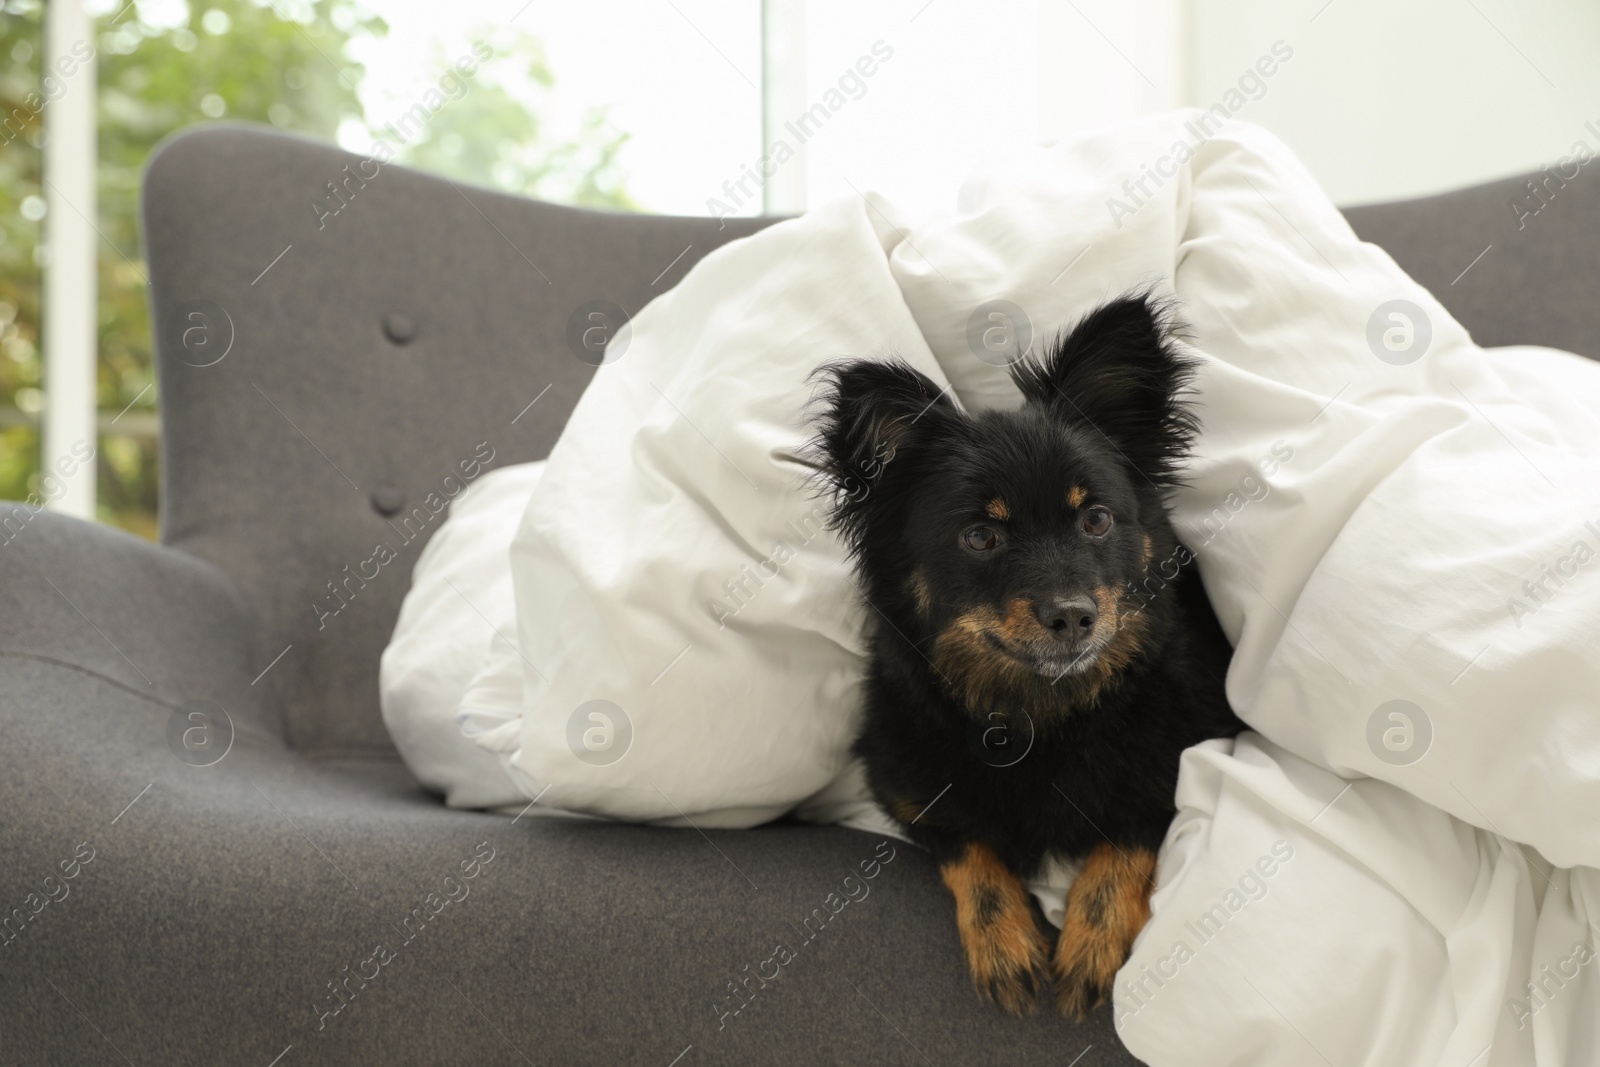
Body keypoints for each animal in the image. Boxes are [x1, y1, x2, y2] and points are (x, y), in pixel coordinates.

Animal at [806, 292, 1241, 1017]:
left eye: (1096, 519)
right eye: (981, 536)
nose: (1073, 616)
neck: (1041, 715)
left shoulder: (1177, 762)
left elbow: (1124, 843)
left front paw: (1091, 948)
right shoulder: (905, 787)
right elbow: (970, 851)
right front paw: (1005, 945)